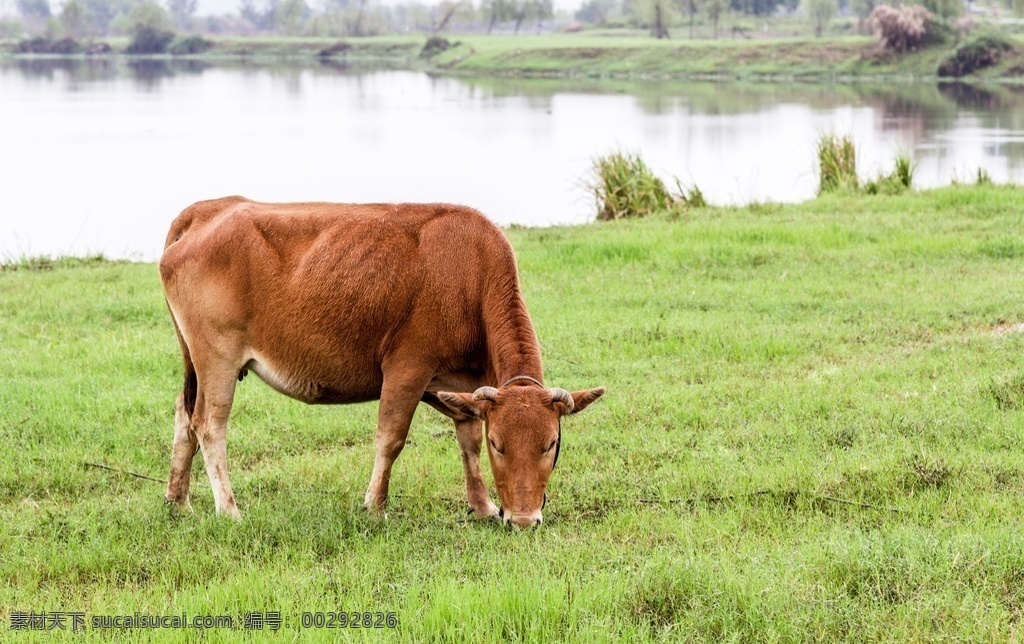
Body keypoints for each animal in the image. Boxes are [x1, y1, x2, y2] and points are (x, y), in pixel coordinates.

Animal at [158, 197, 602, 528]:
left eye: (551, 443)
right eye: (500, 444)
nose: (525, 520)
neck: (470, 277)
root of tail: (207, 211)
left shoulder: (460, 387)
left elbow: (467, 439)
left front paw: (483, 506)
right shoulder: (408, 368)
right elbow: (391, 438)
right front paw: (375, 506)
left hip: (193, 360)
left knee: (184, 414)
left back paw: (178, 501)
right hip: (217, 356)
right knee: (209, 424)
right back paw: (229, 509)